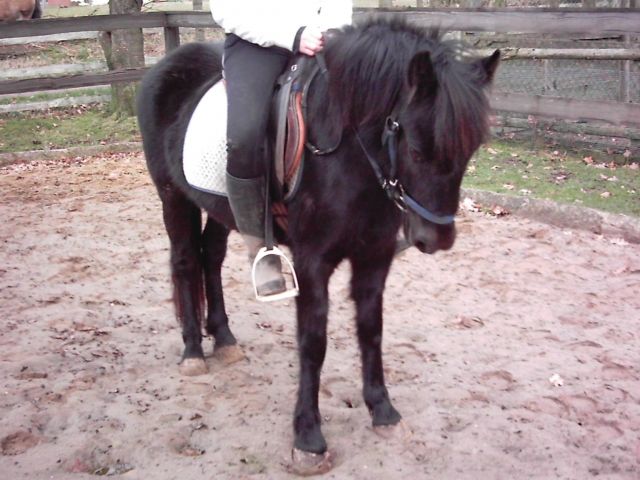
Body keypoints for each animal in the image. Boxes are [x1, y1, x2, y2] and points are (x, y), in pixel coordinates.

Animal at [137, 16, 499, 474]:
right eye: (417, 150)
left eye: (471, 151)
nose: (436, 238)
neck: (349, 156)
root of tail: (165, 66)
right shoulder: (312, 263)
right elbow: (313, 343)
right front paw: (308, 437)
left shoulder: (374, 259)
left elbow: (372, 332)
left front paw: (383, 411)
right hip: (174, 197)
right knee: (185, 260)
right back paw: (192, 353)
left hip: (219, 205)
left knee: (211, 258)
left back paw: (224, 339)